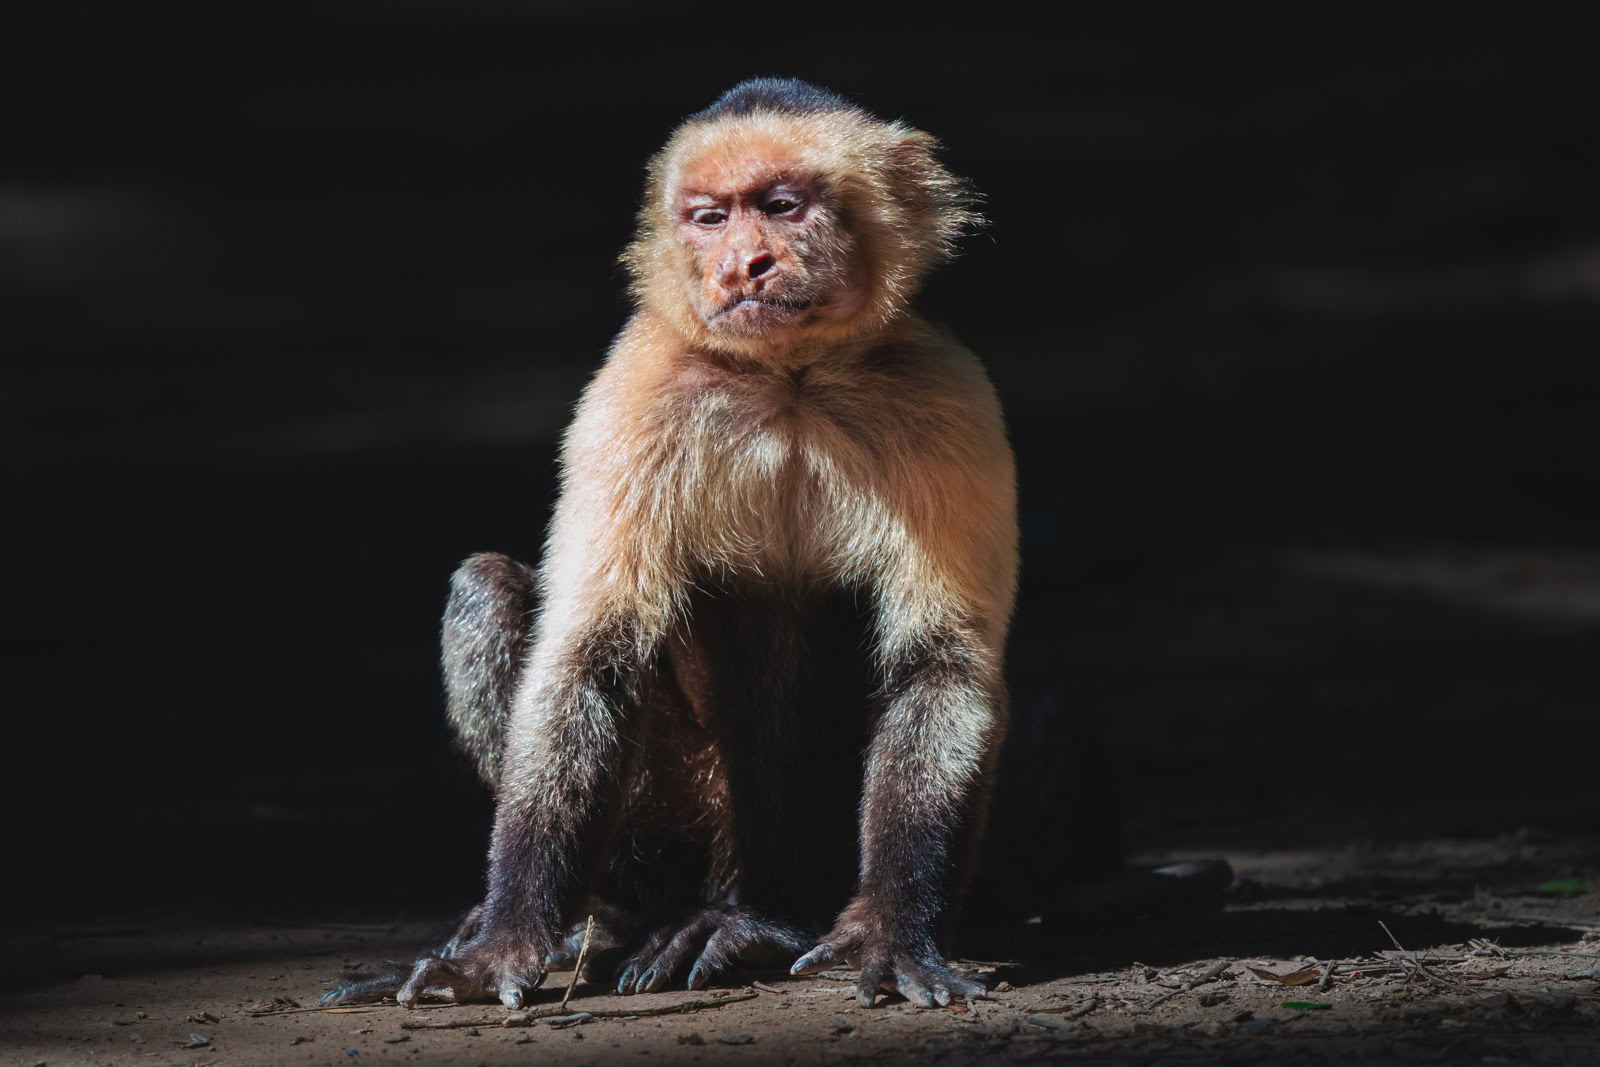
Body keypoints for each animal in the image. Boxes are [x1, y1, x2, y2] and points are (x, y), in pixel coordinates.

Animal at [326, 79, 1017, 1017]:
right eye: (708, 218)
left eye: (781, 207)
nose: (744, 263)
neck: (790, 381)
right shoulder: (636, 388)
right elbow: (589, 655)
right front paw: (502, 946)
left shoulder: (946, 392)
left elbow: (939, 665)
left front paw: (890, 932)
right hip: (683, 816)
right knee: (488, 589)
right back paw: (621, 915)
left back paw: (760, 921)